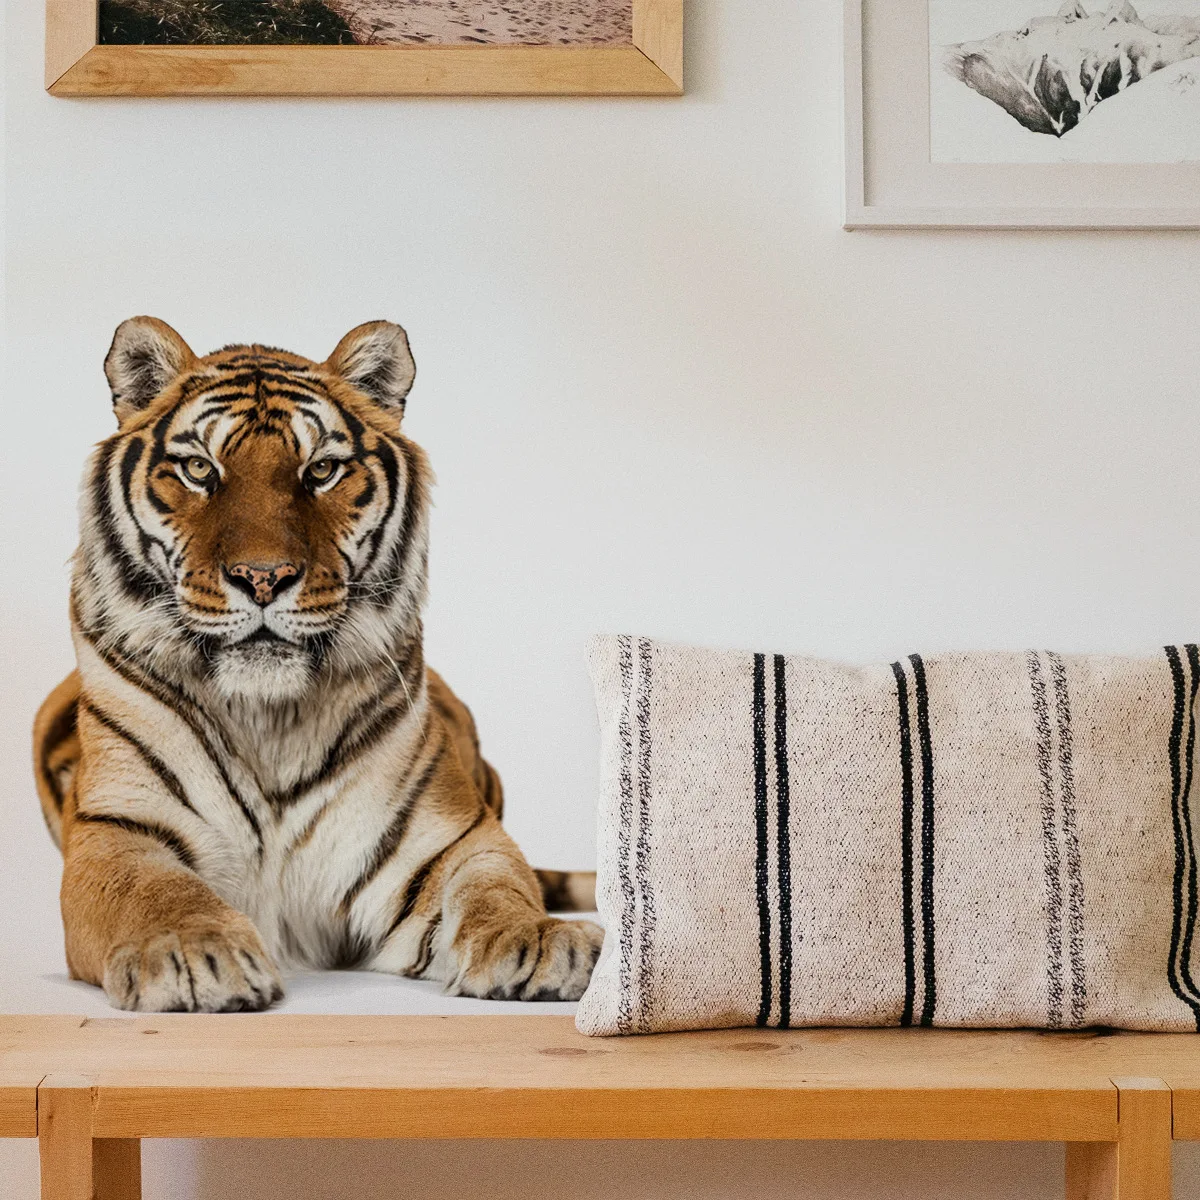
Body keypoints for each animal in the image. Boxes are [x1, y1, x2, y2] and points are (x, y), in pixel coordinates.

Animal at [32, 316, 601, 1013]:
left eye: (322, 470)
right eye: (198, 469)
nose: (263, 576)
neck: (268, 720)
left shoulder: (450, 836)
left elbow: (496, 884)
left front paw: (539, 940)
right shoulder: (118, 829)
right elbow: (153, 891)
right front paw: (193, 954)